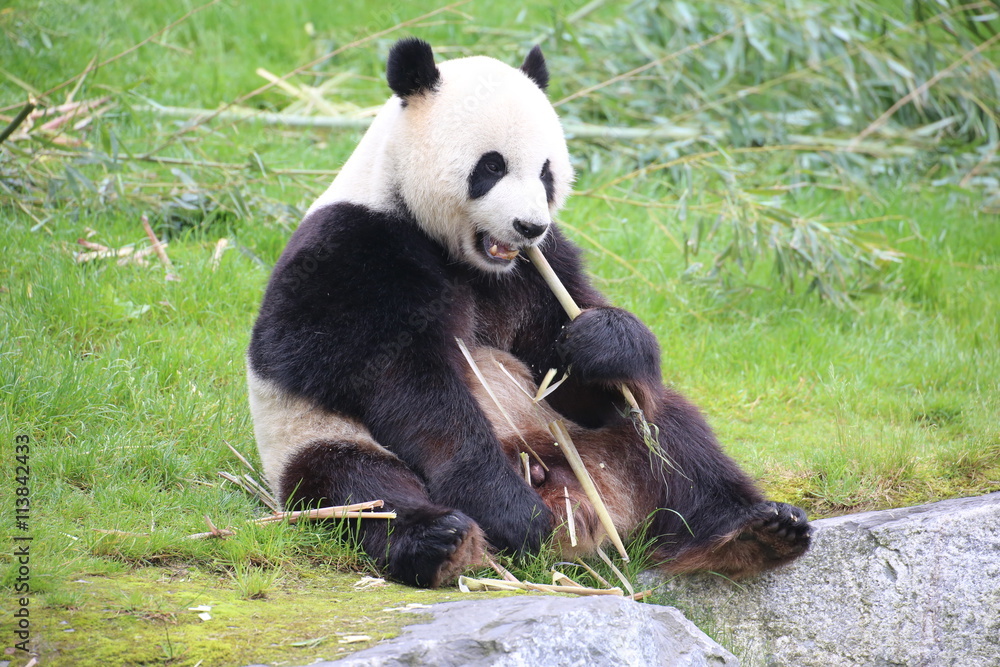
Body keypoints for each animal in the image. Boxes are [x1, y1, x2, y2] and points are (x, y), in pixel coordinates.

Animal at [247, 38, 811, 588]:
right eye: (491, 166)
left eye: (546, 173)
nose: (528, 226)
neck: (464, 257)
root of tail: (583, 503)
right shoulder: (353, 249)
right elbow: (391, 379)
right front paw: (508, 510)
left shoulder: (538, 269)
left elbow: (563, 366)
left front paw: (600, 341)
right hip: (313, 439)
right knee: (359, 488)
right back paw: (446, 540)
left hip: (596, 439)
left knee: (673, 438)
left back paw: (757, 531)